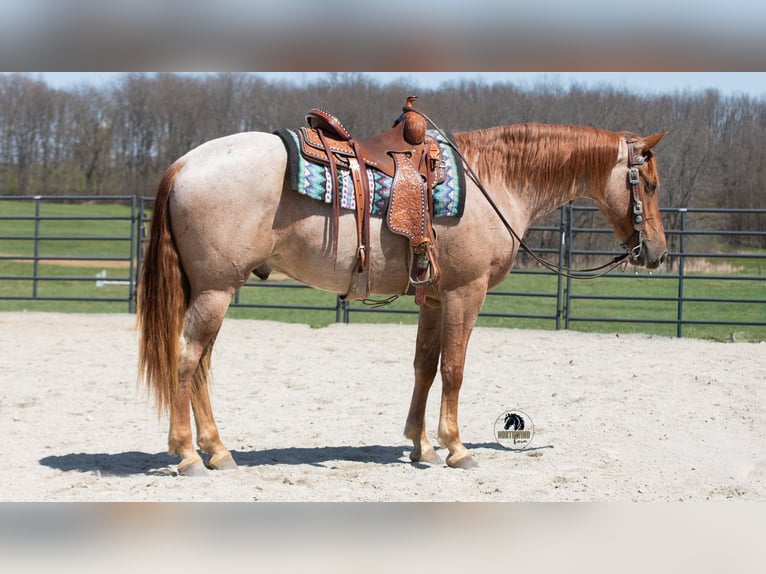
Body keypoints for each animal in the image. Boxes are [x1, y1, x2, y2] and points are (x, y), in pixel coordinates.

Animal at [137, 121, 668, 475]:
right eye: (651, 184)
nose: (658, 252)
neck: (493, 181)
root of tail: (185, 164)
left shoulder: (432, 300)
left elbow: (425, 368)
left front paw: (422, 445)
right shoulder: (465, 293)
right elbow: (454, 369)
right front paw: (456, 448)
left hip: (211, 292)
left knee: (200, 366)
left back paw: (218, 451)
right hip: (215, 291)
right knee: (186, 360)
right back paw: (188, 455)